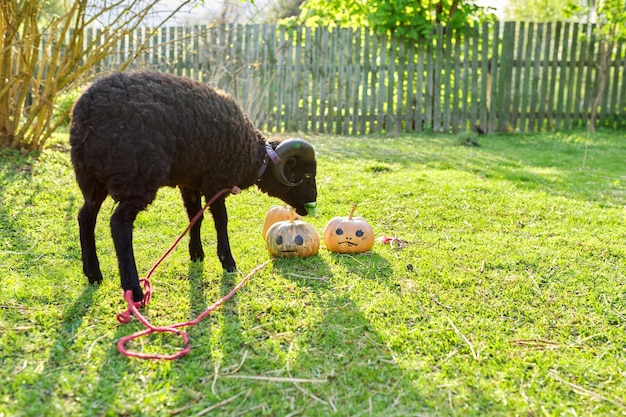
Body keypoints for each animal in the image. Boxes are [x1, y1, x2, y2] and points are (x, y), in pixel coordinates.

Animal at [69, 70, 316, 300]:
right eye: (305, 176)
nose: (312, 204)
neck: (255, 157)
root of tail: (88, 112)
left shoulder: (190, 183)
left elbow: (195, 217)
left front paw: (196, 254)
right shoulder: (216, 182)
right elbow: (221, 221)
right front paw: (228, 261)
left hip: (92, 179)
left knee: (85, 217)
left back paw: (93, 274)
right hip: (136, 177)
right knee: (119, 225)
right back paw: (134, 289)